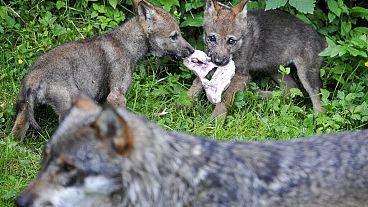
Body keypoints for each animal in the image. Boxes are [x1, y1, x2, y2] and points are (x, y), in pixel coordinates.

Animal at [11, 0, 194, 140]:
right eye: (174, 36)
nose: (192, 50)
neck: (126, 44)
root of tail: (35, 79)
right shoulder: (117, 95)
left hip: (24, 110)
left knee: (15, 135)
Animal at [188, 0, 326, 119]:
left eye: (231, 41)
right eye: (212, 38)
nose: (218, 61)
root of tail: (322, 39)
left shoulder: (242, 76)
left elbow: (225, 100)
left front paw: (214, 122)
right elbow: (194, 88)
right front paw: (184, 106)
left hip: (306, 75)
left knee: (318, 105)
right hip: (274, 69)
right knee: (290, 89)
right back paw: (258, 93)